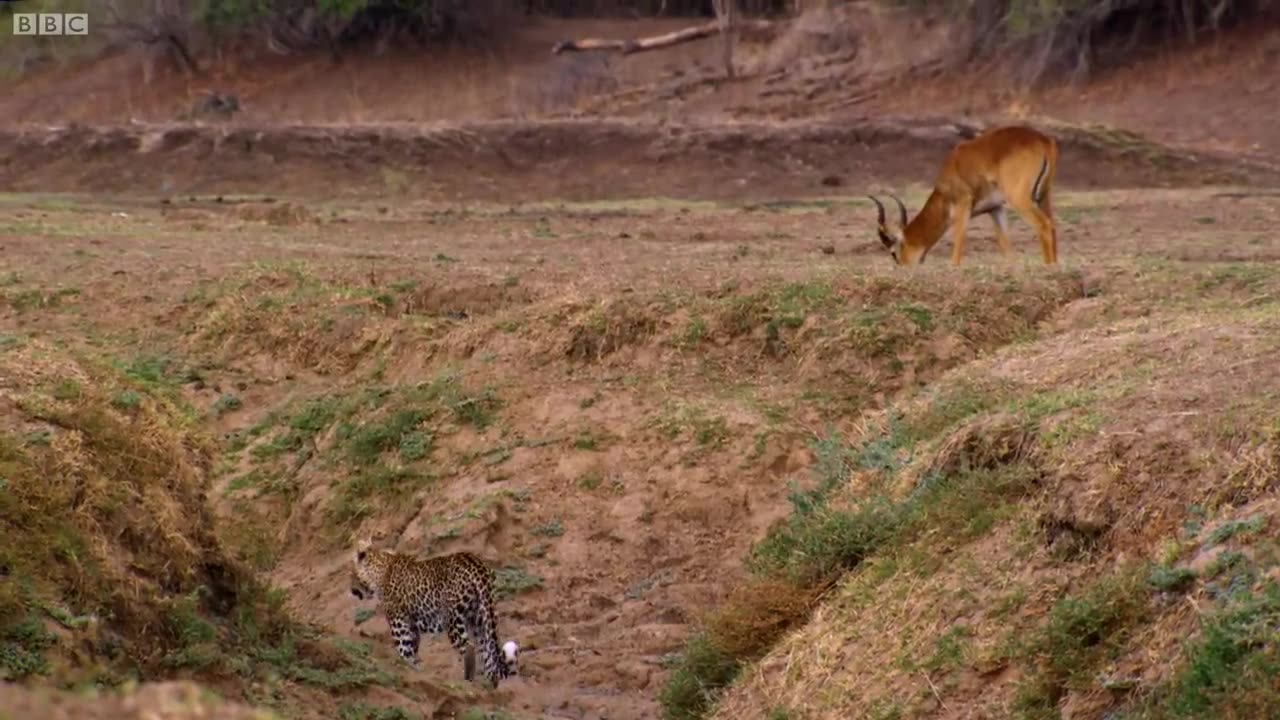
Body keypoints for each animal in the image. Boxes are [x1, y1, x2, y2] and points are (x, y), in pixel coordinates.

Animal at [350, 538, 519, 681]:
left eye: (351, 573)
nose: (351, 590)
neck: (380, 571)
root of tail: (478, 566)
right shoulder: (412, 626)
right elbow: (413, 652)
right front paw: (417, 669)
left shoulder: (399, 623)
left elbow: (405, 652)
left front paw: (410, 670)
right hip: (480, 618)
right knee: (488, 654)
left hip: (452, 618)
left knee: (469, 647)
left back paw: (467, 681)